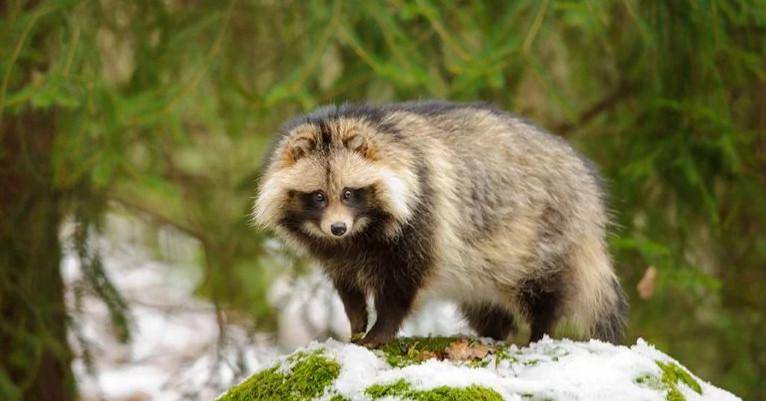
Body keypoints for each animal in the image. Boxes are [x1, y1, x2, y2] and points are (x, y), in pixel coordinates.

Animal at [255, 101, 628, 346]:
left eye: (349, 193)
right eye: (318, 197)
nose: (337, 228)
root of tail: (587, 187)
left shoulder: (423, 215)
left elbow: (402, 284)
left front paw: (380, 331)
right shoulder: (336, 253)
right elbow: (348, 288)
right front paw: (357, 323)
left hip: (543, 232)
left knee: (546, 290)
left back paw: (540, 332)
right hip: (486, 265)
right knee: (486, 305)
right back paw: (494, 333)